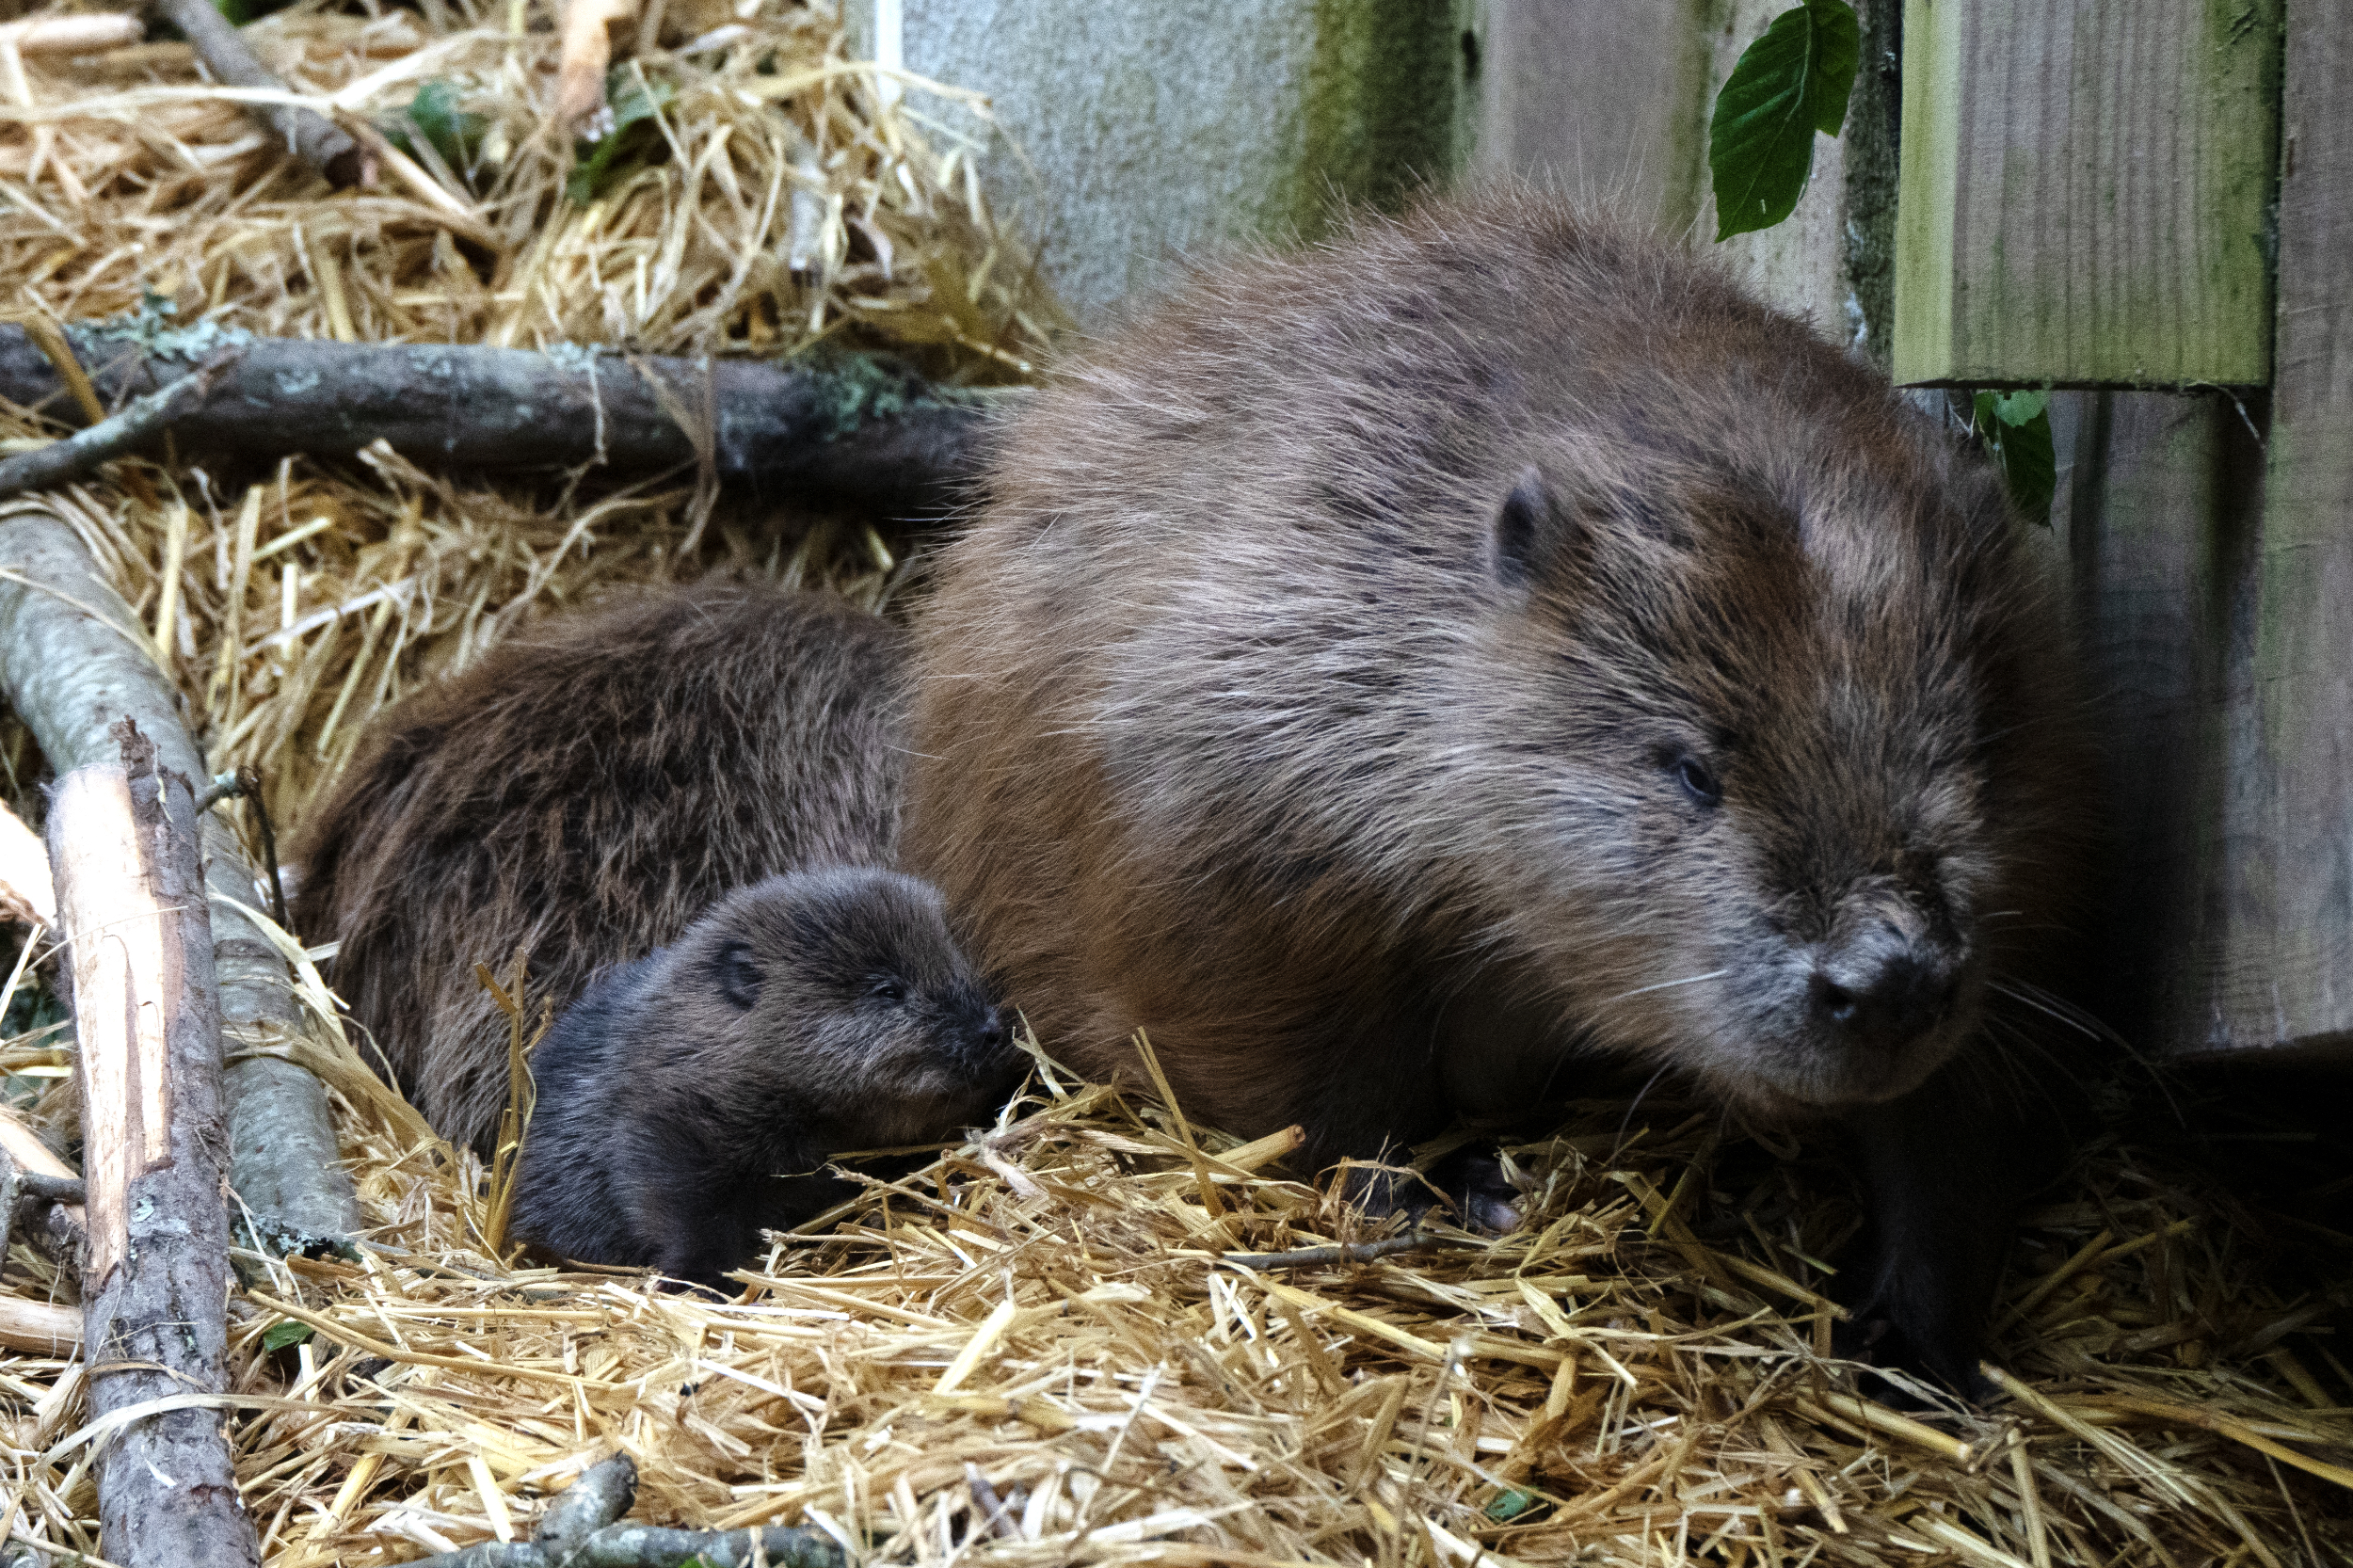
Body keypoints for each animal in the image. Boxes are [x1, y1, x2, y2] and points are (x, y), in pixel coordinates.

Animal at [908, 191, 2108, 1384]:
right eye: (1691, 767)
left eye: (1970, 744)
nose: (1888, 979)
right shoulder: (1232, 770)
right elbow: (1284, 1062)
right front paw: (1435, 1190)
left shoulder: (2045, 836)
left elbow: (1964, 1111)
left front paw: (1906, 1329)